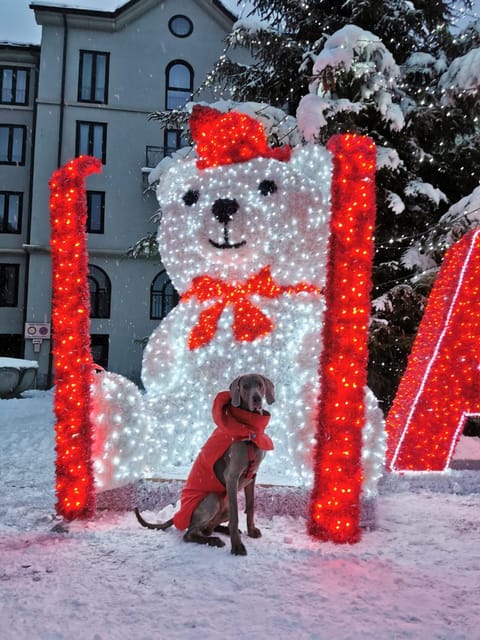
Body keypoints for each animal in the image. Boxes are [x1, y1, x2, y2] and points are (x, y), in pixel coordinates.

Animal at [134, 376, 274, 556]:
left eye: (260, 385)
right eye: (245, 386)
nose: (256, 399)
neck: (248, 429)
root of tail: (178, 515)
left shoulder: (252, 476)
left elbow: (250, 507)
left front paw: (251, 531)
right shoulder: (232, 476)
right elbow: (236, 518)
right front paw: (237, 546)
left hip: (225, 505)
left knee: (207, 527)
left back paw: (220, 531)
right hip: (214, 499)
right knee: (190, 533)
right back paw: (214, 540)